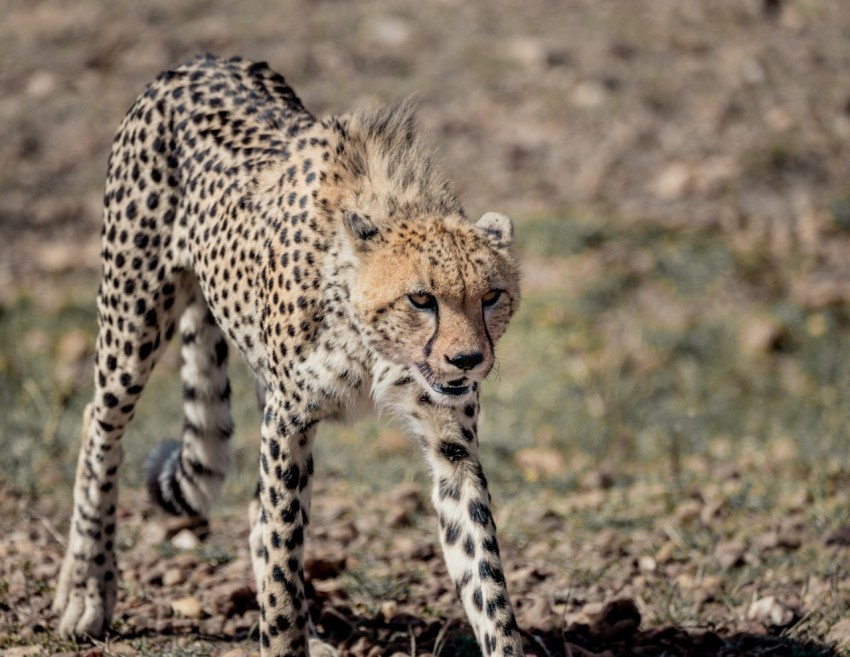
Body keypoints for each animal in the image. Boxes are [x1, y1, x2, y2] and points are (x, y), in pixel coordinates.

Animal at [53, 54, 523, 657]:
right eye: (422, 299)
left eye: (491, 297)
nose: (467, 361)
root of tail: (202, 60)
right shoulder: (287, 420)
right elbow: (281, 565)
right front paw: (280, 636)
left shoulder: (450, 445)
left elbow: (483, 574)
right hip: (131, 321)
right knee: (98, 424)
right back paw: (86, 588)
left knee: (258, 511)